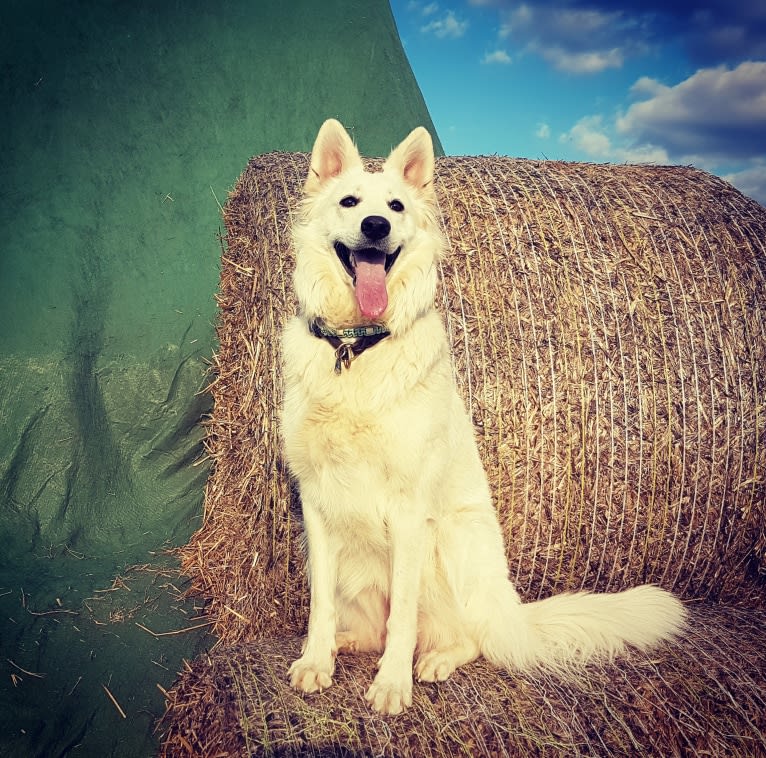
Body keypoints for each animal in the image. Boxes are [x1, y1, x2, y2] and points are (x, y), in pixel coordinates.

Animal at [280, 120, 688, 720]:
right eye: (349, 202)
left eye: (396, 206)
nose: (376, 226)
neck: (358, 350)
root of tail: (512, 612)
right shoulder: (317, 503)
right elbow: (319, 605)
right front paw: (316, 659)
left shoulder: (409, 511)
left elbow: (403, 619)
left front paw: (392, 685)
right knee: (374, 628)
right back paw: (346, 645)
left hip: (448, 543)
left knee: (469, 638)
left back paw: (435, 660)